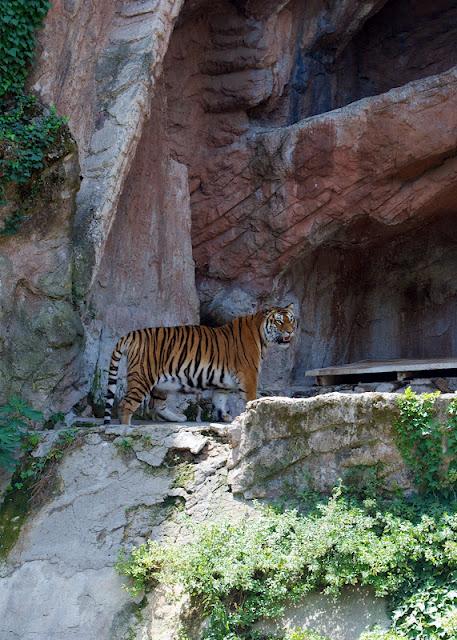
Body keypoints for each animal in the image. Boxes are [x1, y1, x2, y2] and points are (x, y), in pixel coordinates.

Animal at [103, 304, 296, 424]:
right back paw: (126, 428)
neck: (262, 334)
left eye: (291, 320)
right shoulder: (248, 374)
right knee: (125, 405)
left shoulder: (223, 382)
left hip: (161, 383)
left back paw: (179, 418)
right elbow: (251, 398)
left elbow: (219, 400)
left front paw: (225, 417)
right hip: (143, 376)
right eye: (279, 321)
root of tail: (132, 334)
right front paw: (252, 414)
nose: (290, 332)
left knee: (156, 405)